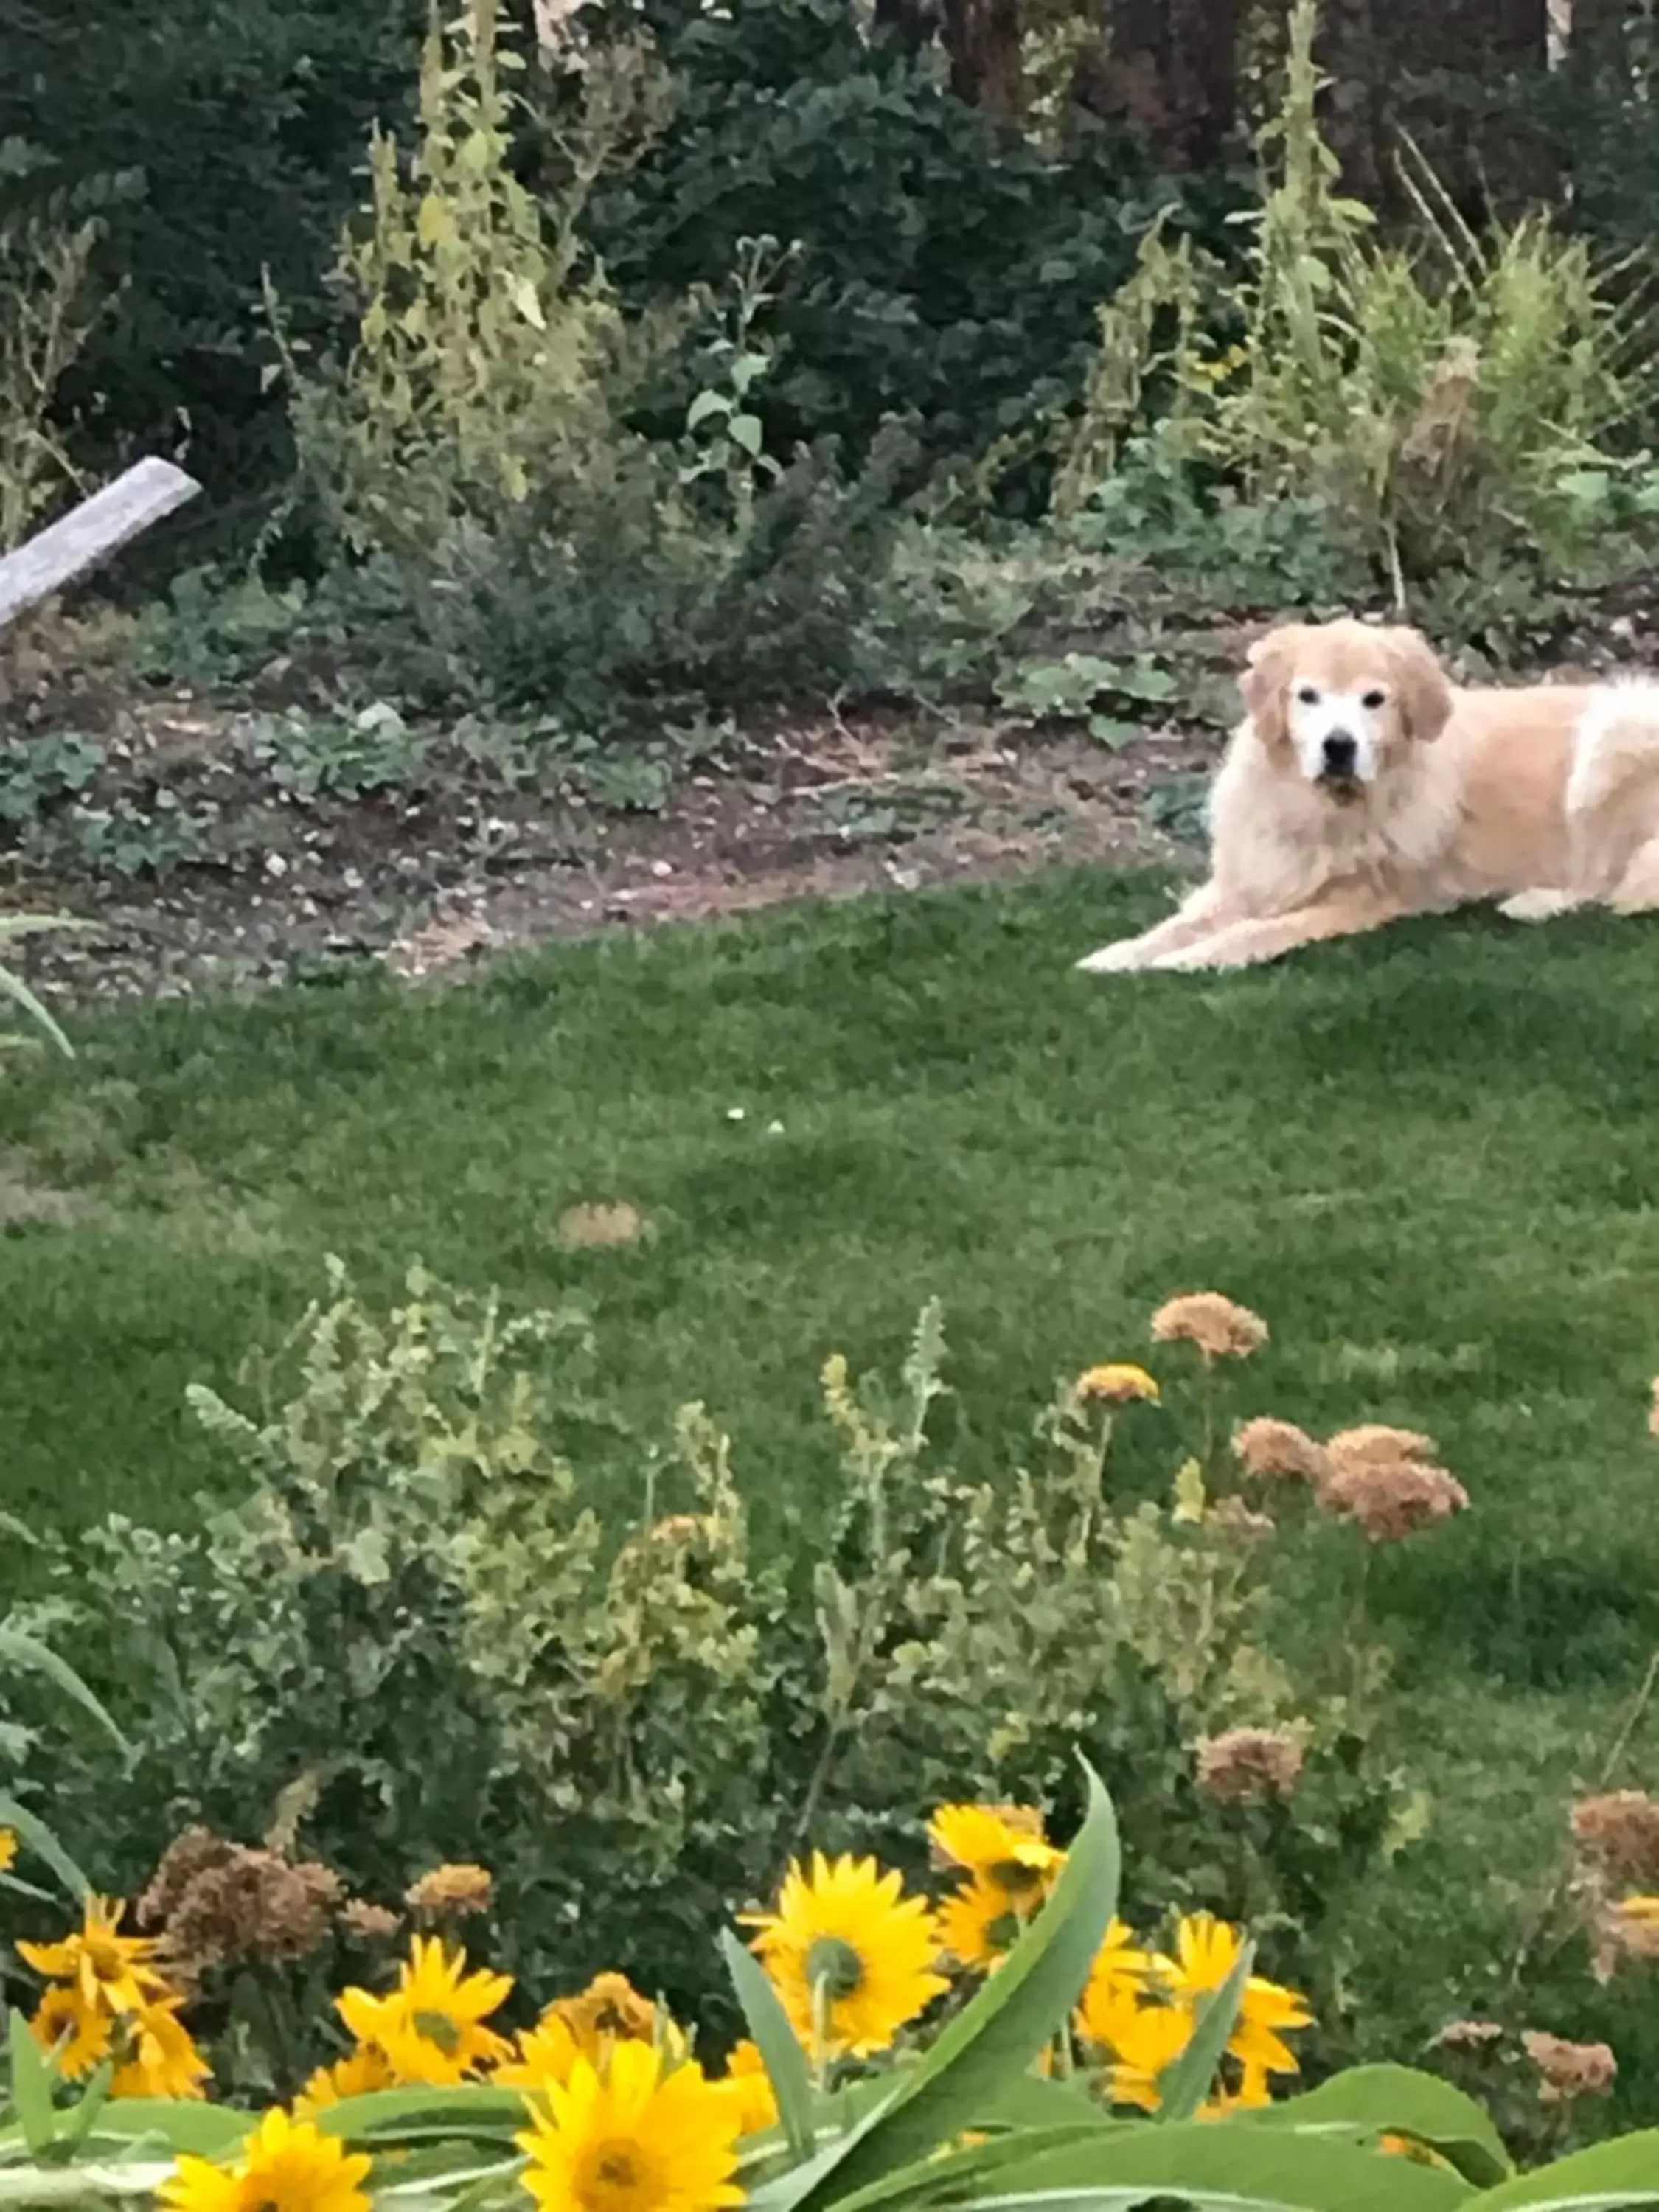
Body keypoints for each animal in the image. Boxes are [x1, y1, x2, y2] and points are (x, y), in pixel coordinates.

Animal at [1079, 619, 1659, 973]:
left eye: (1374, 700)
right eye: (1308, 696)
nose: (1339, 746)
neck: (1326, 811)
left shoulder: (1361, 900)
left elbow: (1258, 931)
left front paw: (1196, 958)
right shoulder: (1248, 878)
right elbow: (1176, 926)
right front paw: (1117, 955)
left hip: (1617, 732)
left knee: (1607, 883)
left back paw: (1536, 902)